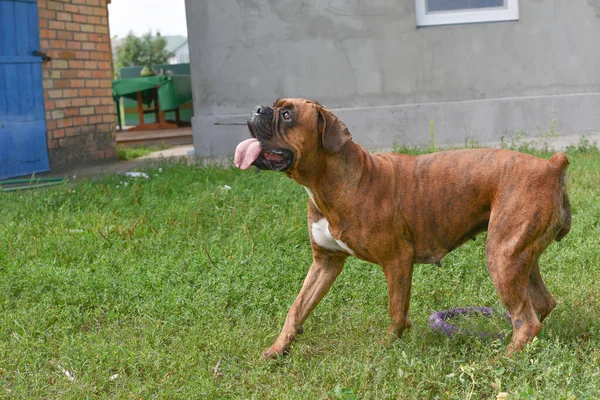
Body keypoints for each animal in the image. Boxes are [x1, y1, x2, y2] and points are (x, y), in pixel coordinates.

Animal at [232, 98, 568, 358]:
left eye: (287, 115)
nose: (258, 108)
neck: (331, 180)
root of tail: (551, 165)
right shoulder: (325, 263)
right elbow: (297, 307)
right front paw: (278, 349)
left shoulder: (397, 260)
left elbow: (396, 310)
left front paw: (388, 344)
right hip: (519, 255)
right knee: (540, 304)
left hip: (501, 257)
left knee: (526, 319)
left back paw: (503, 359)